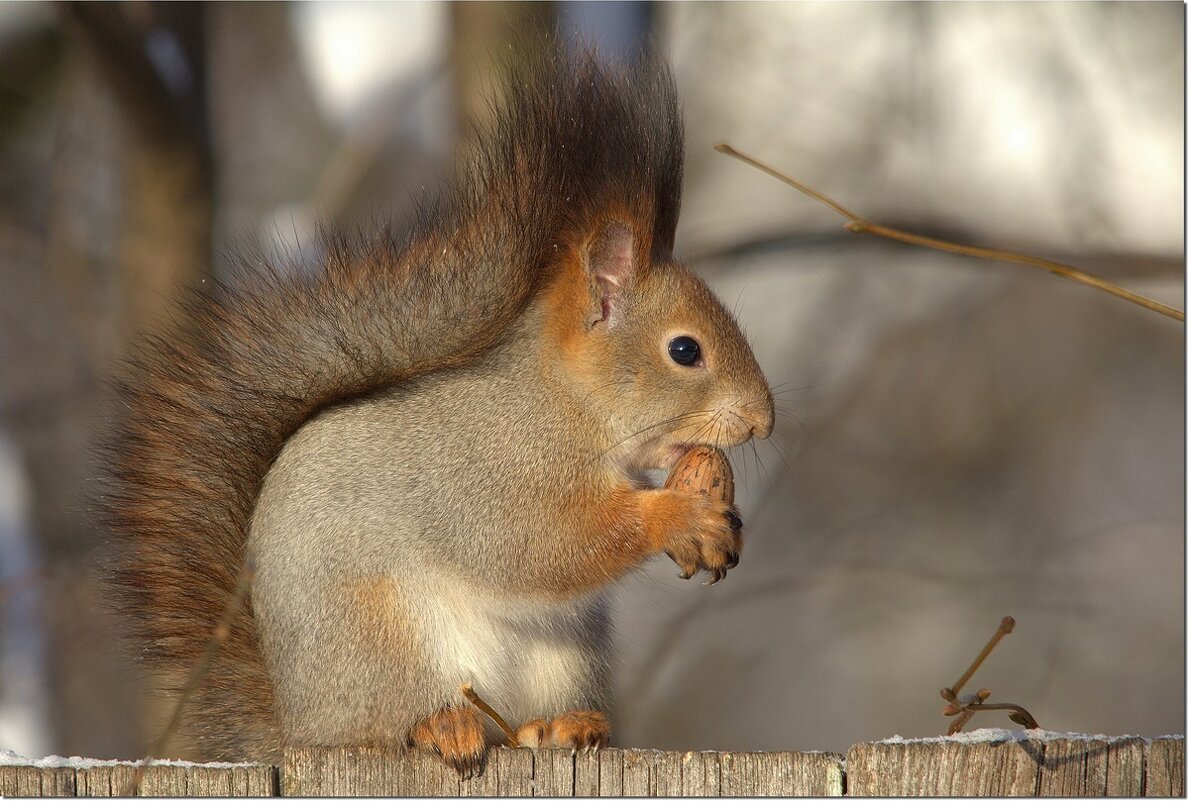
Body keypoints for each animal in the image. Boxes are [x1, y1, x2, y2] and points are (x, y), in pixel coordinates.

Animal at [102, 45, 770, 774]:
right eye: (684, 350)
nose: (763, 420)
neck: (564, 404)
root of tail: (298, 728)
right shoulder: (486, 479)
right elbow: (541, 547)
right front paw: (680, 515)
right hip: (385, 641)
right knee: (396, 722)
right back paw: (442, 727)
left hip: (563, 653)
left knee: (520, 724)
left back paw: (563, 727)